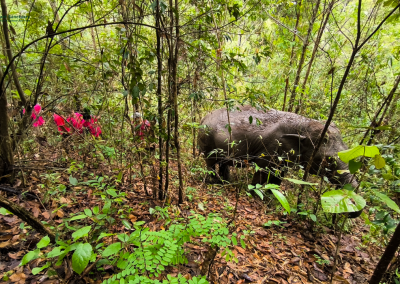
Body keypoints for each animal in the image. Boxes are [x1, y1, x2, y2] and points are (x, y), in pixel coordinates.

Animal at [198, 105, 358, 190]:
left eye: (347, 146)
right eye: (329, 160)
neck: (303, 124)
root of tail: (203, 118)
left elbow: (279, 176)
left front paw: (272, 195)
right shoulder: (270, 149)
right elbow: (262, 171)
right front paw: (254, 193)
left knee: (222, 163)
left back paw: (226, 181)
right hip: (207, 142)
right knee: (210, 163)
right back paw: (215, 182)